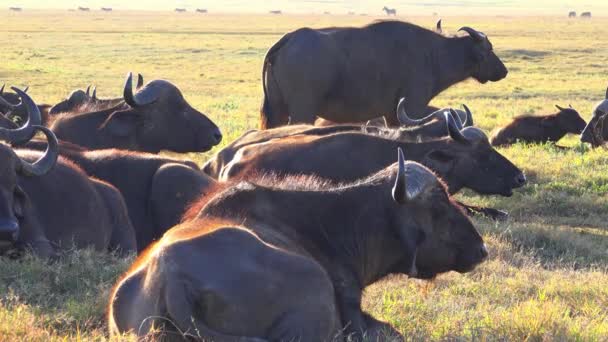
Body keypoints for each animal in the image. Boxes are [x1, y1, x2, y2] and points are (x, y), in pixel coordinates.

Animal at [258, 20, 506, 129]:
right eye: (489, 49)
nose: (503, 71)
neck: (434, 54)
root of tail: (289, 39)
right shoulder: (413, 107)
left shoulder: (392, 114)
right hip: (303, 112)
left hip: (278, 112)